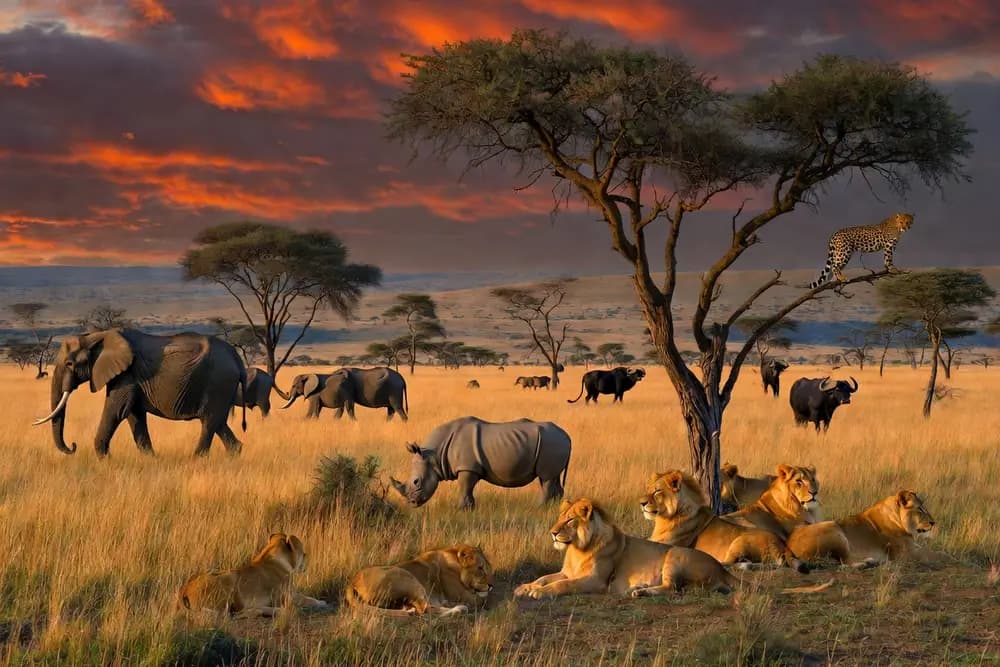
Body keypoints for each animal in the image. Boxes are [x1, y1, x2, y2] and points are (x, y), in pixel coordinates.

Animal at [33, 329, 246, 457]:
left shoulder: (126, 375)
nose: (74, 446)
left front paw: (104, 460)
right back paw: (234, 455)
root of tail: (237, 359)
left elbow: (116, 410)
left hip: (218, 382)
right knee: (218, 422)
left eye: (69, 364)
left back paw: (195, 460)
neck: (96, 336)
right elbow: (134, 415)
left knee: (209, 422)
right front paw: (150, 459)